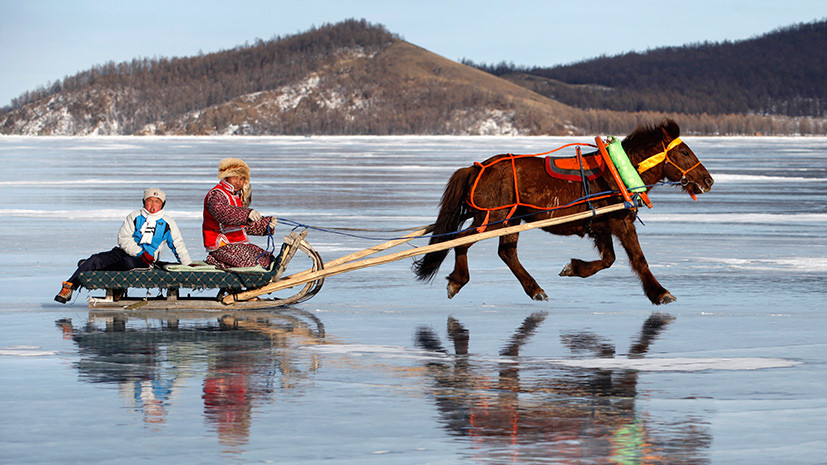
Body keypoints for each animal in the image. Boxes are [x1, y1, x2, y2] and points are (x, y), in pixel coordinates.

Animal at [418, 118, 716, 302]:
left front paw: (573, 268)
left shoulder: (601, 226)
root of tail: (478, 167)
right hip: (494, 217)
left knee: (506, 252)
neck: (618, 172)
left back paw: (534, 289)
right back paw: (458, 280)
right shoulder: (620, 222)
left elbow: (608, 260)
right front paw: (660, 293)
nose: (708, 180)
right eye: (685, 153)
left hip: (511, 219)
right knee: (460, 241)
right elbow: (638, 258)